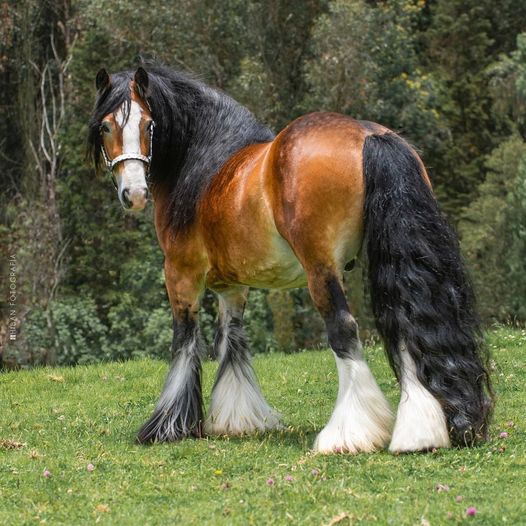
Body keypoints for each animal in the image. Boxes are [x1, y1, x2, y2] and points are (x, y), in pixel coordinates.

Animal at [87, 65, 496, 454]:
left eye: (149, 124)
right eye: (107, 126)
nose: (134, 193)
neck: (206, 166)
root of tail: (366, 135)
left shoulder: (180, 274)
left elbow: (185, 342)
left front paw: (169, 426)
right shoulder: (232, 286)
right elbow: (233, 341)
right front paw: (240, 419)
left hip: (321, 270)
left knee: (344, 330)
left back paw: (348, 434)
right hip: (390, 257)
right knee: (404, 320)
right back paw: (419, 431)